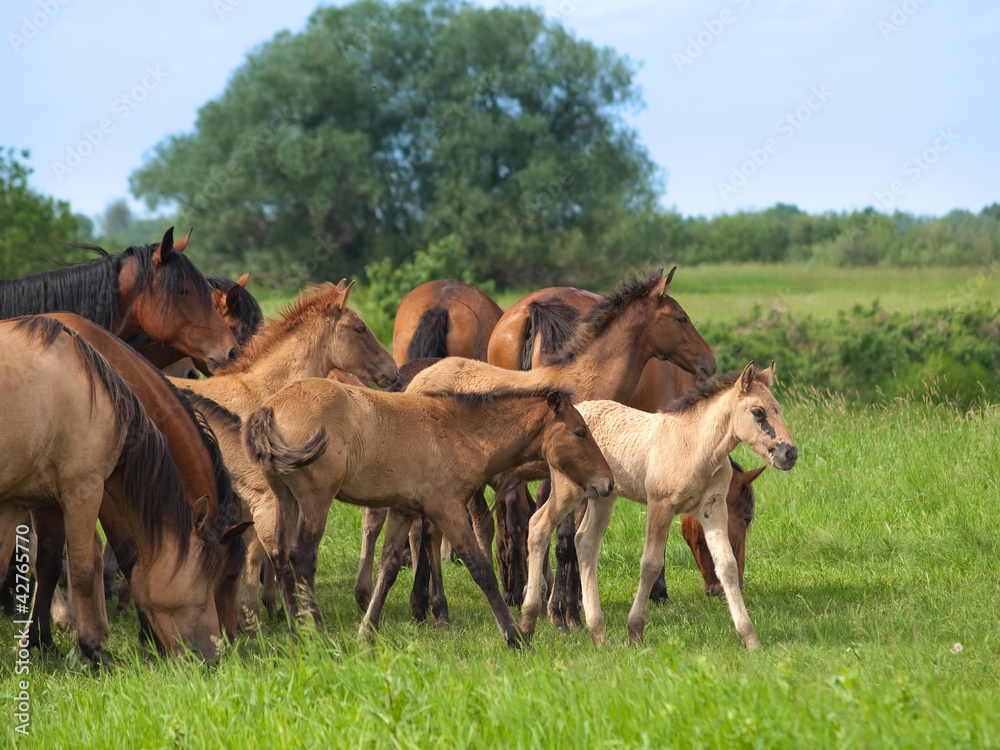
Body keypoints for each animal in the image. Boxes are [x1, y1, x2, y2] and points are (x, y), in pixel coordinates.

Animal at [0, 314, 225, 668]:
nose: (216, 654)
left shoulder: (25, 499)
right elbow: (87, 568)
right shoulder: (85, 490)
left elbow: (44, 563)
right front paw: (95, 648)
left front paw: (39, 642)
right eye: (207, 579)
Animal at [243, 382, 616, 648]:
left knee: (279, 555)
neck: (460, 431)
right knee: (301, 557)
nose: (607, 482)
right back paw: (317, 634)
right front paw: (514, 637)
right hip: (315, 498)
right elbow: (481, 569)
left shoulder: (404, 509)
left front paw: (367, 632)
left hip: (285, 497)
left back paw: (296, 633)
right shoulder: (447, 508)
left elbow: (389, 567)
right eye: (580, 432)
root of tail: (270, 408)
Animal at [524, 364, 796, 652]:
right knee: (538, 526)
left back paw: (598, 633)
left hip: (603, 496)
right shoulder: (660, 506)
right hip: (569, 491)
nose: (790, 453)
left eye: (779, 408)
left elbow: (727, 565)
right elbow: (651, 564)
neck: (696, 448)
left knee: (585, 542)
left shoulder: (713, 510)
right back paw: (529, 620)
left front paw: (750, 638)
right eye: (758, 412)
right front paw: (635, 631)